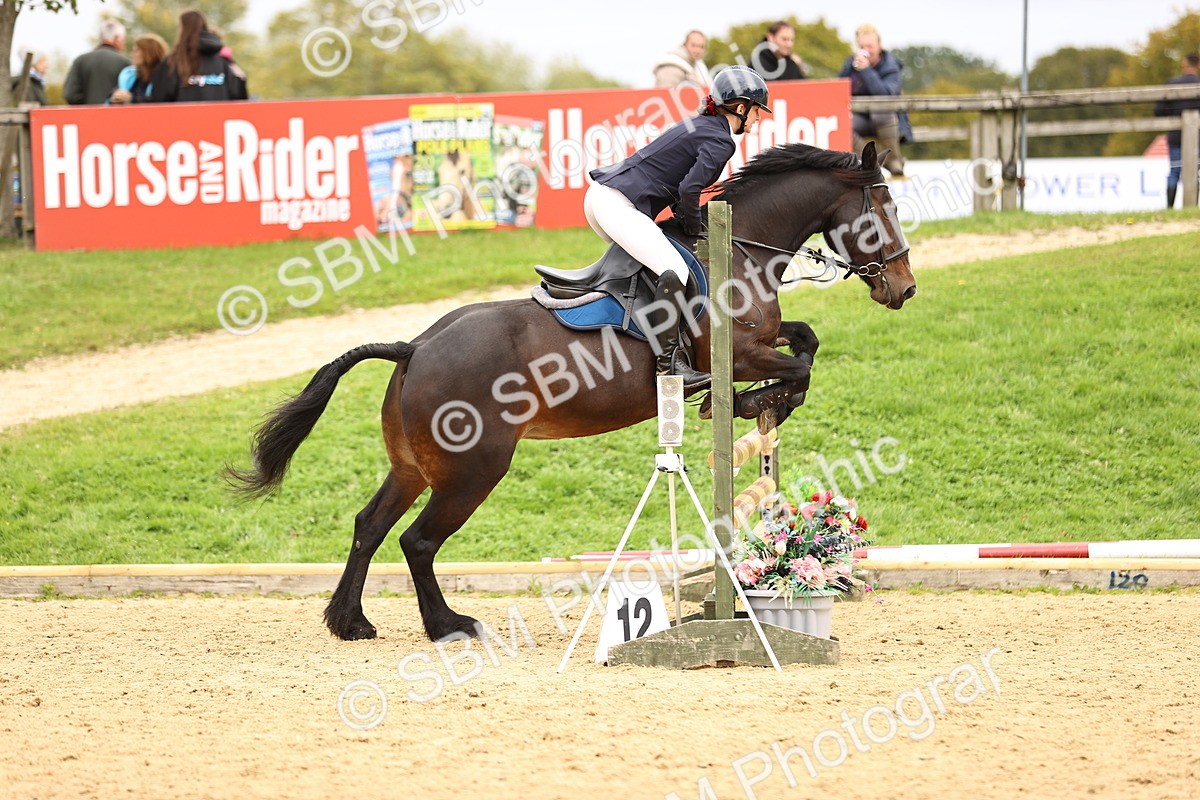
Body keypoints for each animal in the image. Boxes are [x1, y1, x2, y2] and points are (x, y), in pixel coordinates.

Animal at [225, 141, 916, 642]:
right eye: (883, 211)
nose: (904, 289)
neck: (740, 248)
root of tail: (415, 347)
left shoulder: (763, 342)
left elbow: (806, 344)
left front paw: (760, 401)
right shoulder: (736, 354)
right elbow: (796, 369)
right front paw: (751, 402)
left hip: (414, 467)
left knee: (368, 527)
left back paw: (350, 622)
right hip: (473, 470)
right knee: (416, 542)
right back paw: (447, 626)